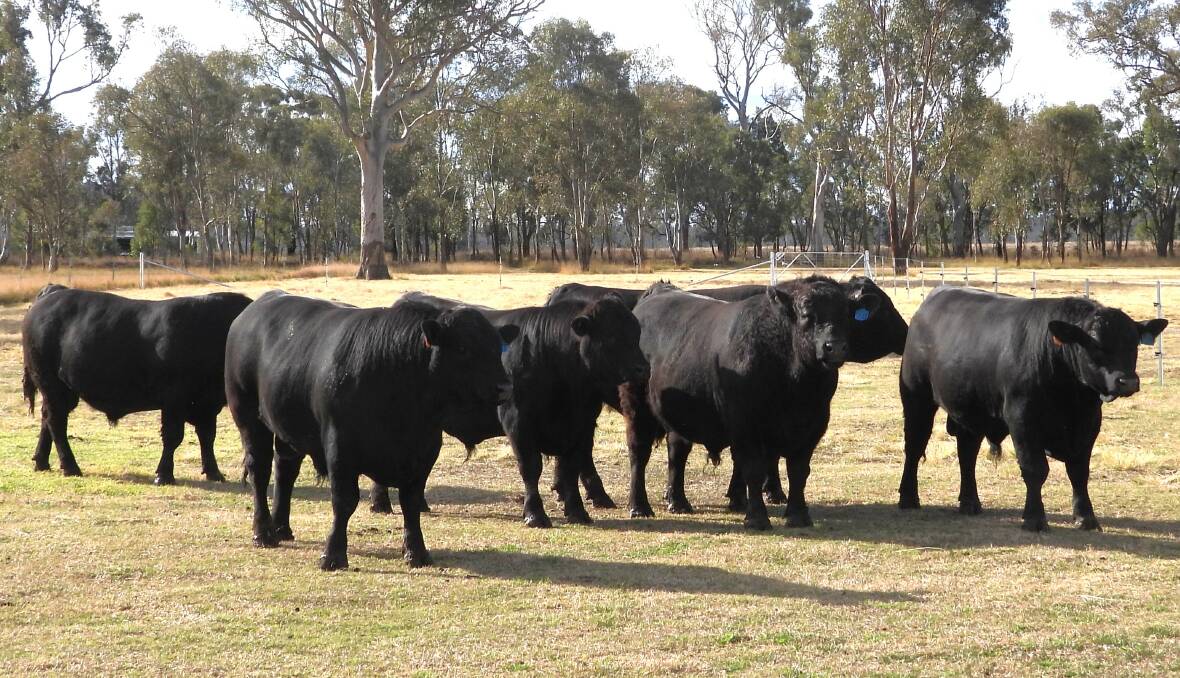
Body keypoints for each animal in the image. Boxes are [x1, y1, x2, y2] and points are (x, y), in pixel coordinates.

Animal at [21, 285, 251, 484]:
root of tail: (51, 294)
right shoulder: (174, 400)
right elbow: (173, 436)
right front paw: (164, 475)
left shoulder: (206, 403)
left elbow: (207, 436)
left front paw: (214, 472)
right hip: (53, 385)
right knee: (56, 422)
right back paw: (70, 467)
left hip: (62, 391)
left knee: (47, 419)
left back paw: (42, 462)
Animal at [224, 291, 518, 570]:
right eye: (463, 348)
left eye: (497, 347)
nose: (505, 387)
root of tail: (254, 308)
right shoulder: (339, 449)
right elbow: (344, 501)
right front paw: (333, 555)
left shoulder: (424, 451)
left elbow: (411, 503)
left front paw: (417, 552)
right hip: (250, 420)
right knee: (260, 473)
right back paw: (264, 533)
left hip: (288, 431)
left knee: (285, 471)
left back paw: (281, 528)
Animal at [370, 292, 648, 527]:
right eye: (612, 337)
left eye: (636, 334)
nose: (643, 368)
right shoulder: (518, 422)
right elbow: (531, 468)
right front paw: (535, 514)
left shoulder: (581, 425)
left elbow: (570, 468)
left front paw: (577, 512)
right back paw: (380, 503)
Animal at [620, 277, 879, 529]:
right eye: (807, 313)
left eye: (846, 313)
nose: (834, 347)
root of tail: (657, 292)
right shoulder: (746, 427)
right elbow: (753, 470)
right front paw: (757, 518)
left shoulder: (812, 426)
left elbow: (798, 471)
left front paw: (798, 515)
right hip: (637, 410)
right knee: (639, 454)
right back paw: (639, 506)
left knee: (677, 452)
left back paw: (679, 502)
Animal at [898, 287, 1167, 531]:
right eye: (1096, 345)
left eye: (1133, 344)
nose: (1127, 381)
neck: (1071, 398)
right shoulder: (1022, 420)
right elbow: (1035, 469)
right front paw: (1034, 518)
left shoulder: (1089, 423)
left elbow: (1079, 471)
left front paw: (1086, 517)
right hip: (917, 399)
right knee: (914, 447)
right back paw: (909, 498)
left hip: (970, 411)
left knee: (967, 454)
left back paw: (969, 502)